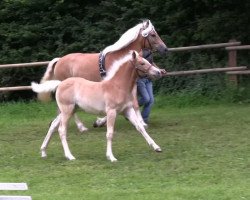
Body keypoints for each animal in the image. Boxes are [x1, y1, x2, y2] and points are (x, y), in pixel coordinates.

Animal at [31, 50, 162, 162]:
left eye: (147, 61)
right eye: (142, 63)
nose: (159, 72)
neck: (117, 86)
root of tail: (60, 83)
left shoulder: (127, 110)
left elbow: (140, 128)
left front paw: (156, 147)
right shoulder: (111, 111)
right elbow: (110, 133)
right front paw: (111, 157)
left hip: (68, 110)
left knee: (53, 126)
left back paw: (43, 152)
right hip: (67, 110)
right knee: (61, 130)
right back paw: (70, 156)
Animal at [38, 19, 168, 130]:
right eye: (153, 35)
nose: (165, 49)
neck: (120, 59)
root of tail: (59, 60)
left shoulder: (132, 85)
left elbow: (136, 103)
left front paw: (141, 122)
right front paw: (100, 122)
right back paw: (81, 127)